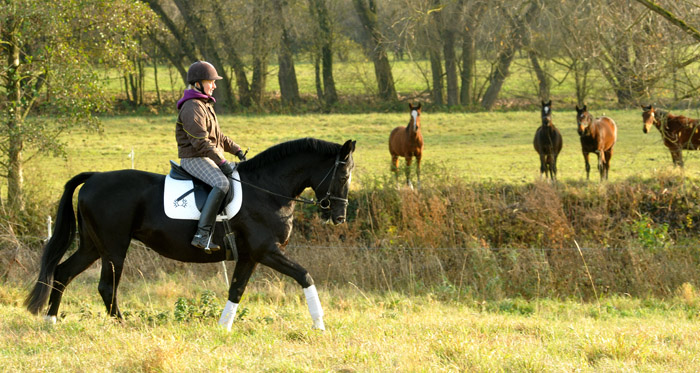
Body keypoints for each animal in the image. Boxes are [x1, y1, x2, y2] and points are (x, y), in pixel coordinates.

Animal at [26, 138, 356, 330]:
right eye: (343, 174)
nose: (338, 217)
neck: (267, 189)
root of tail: (94, 177)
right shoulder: (267, 251)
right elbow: (305, 276)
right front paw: (319, 324)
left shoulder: (250, 256)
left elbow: (236, 290)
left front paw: (223, 328)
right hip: (114, 248)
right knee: (106, 286)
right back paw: (122, 324)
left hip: (94, 246)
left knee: (63, 272)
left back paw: (50, 320)